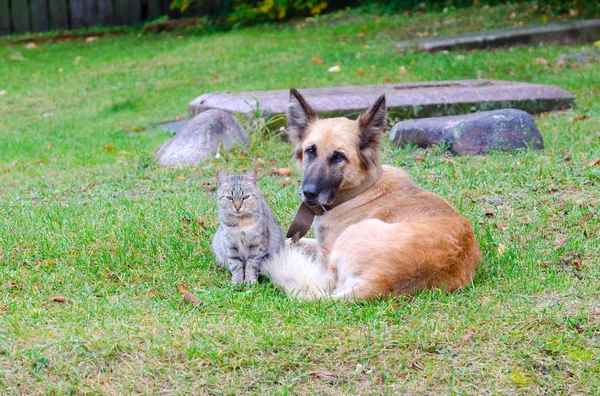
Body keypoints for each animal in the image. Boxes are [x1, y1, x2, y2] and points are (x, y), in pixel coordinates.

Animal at [264, 89, 482, 300]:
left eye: (338, 157)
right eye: (310, 151)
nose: (308, 194)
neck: (360, 190)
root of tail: (379, 281)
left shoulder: (325, 253)